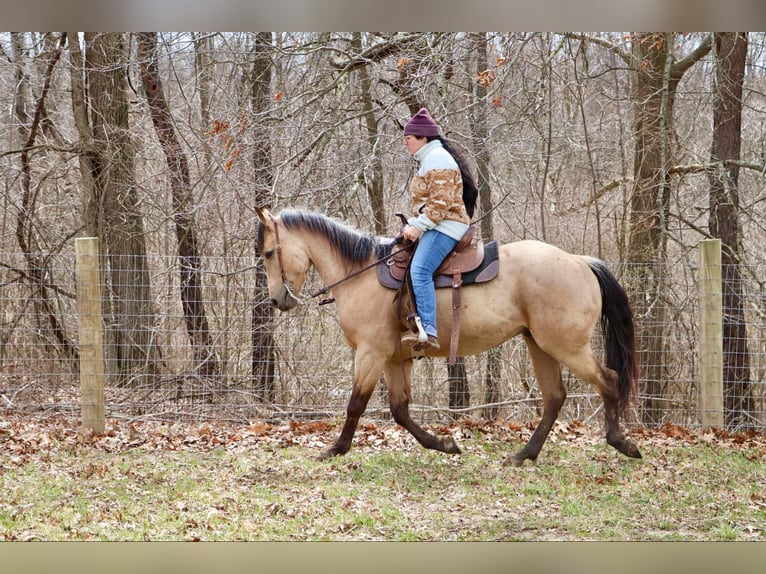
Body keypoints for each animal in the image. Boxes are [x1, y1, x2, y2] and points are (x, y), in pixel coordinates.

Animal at [255, 207, 641, 466]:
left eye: (269, 253)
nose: (277, 300)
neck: (360, 273)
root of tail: (580, 261)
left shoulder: (370, 353)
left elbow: (356, 405)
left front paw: (335, 448)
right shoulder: (394, 359)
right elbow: (400, 410)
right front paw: (444, 444)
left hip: (565, 346)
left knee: (608, 380)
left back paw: (622, 443)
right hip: (540, 344)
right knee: (555, 397)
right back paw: (523, 454)